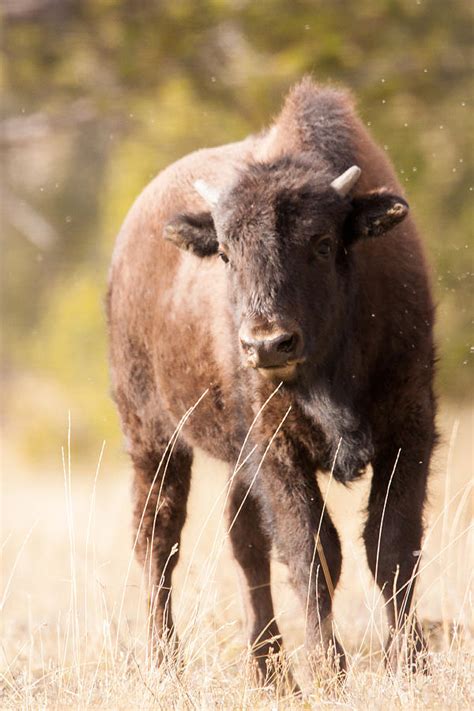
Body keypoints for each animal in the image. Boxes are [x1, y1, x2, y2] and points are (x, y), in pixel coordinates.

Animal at [107, 78, 436, 684]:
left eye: (322, 244)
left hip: (232, 458)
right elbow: (313, 550)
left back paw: (269, 670)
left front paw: (412, 662)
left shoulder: (410, 426)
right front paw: (330, 668)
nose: (266, 344)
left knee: (245, 544)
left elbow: (392, 545)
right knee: (158, 538)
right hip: (152, 437)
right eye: (226, 252)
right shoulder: (277, 446)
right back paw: (166, 660)